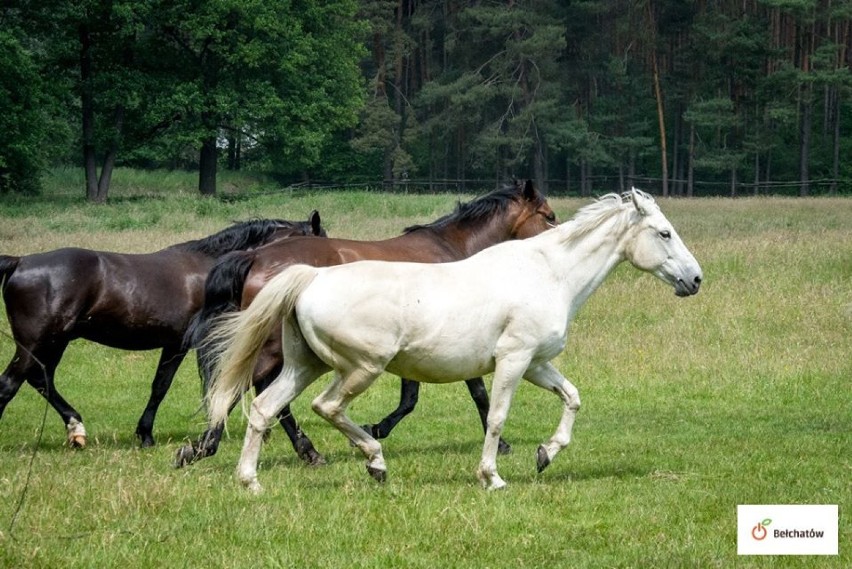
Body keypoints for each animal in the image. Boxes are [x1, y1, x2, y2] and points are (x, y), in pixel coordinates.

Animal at [0, 211, 326, 446]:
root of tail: (19, 262)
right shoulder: (182, 344)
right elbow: (167, 386)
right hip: (38, 342)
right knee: (11, 383)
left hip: (56, 342)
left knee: (41, 380)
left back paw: (76, 429)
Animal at [176, 181, 556, 466]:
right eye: (549, 216)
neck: (453, 250)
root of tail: (255, 256)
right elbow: (476, 394)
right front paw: (501, 444)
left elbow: (410, 399)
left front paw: (374, 429)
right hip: (275, 349)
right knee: (241, 387)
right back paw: (206, 447)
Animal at [205, 189, 700, 490]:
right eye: (664, 232)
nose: (695, 279)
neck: (548, 273)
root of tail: (309, 277)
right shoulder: (513, 360)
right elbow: (495, 416)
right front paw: (492, 476)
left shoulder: (537, 363)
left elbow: (572, 397)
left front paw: (546, 454)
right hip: (359, 368)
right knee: (325, 407)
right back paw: (374, 460)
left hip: (305, 365)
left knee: (265, 409)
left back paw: (250, 481)